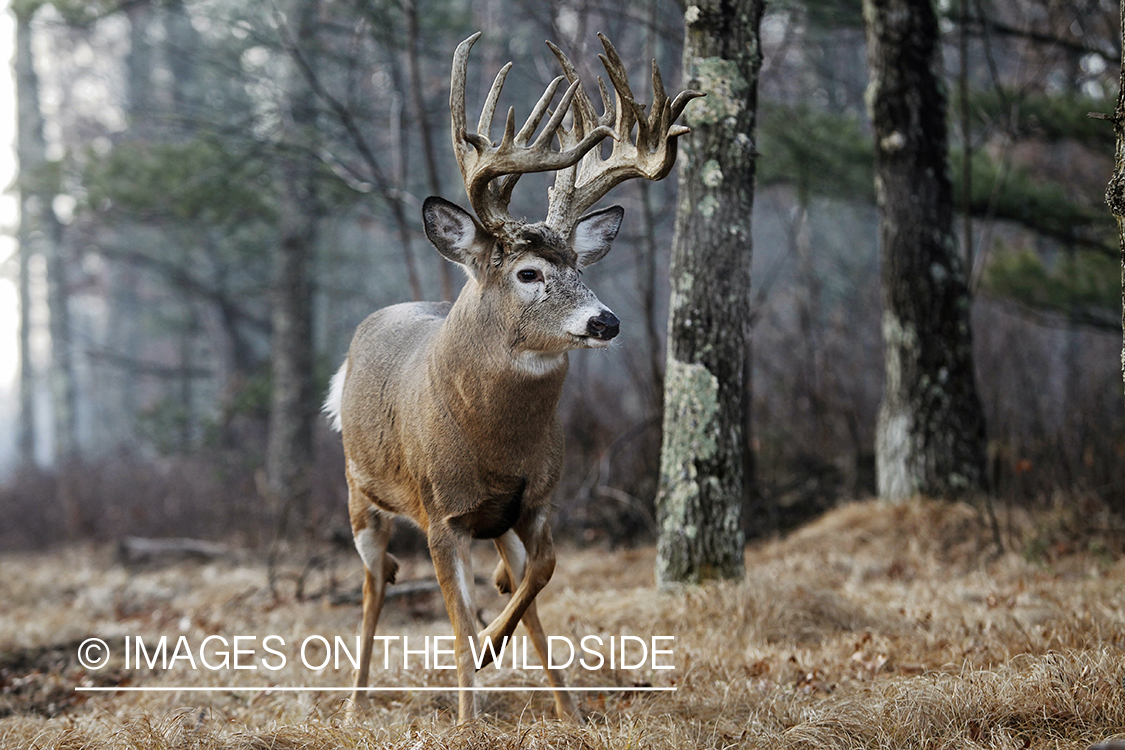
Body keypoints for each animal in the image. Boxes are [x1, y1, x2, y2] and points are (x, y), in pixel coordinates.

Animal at [321, 32, 697, 724]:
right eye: (528, 272)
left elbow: (540, 574)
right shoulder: (442, 513)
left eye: (579, 265)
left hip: (489, 524)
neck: (494, 441)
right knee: (373, 583)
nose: (606, 320)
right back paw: (357, 704)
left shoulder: (537, 500)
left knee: (507, 584)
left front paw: (513, 662)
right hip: (362, 493)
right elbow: (455, 615)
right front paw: (469, 712)